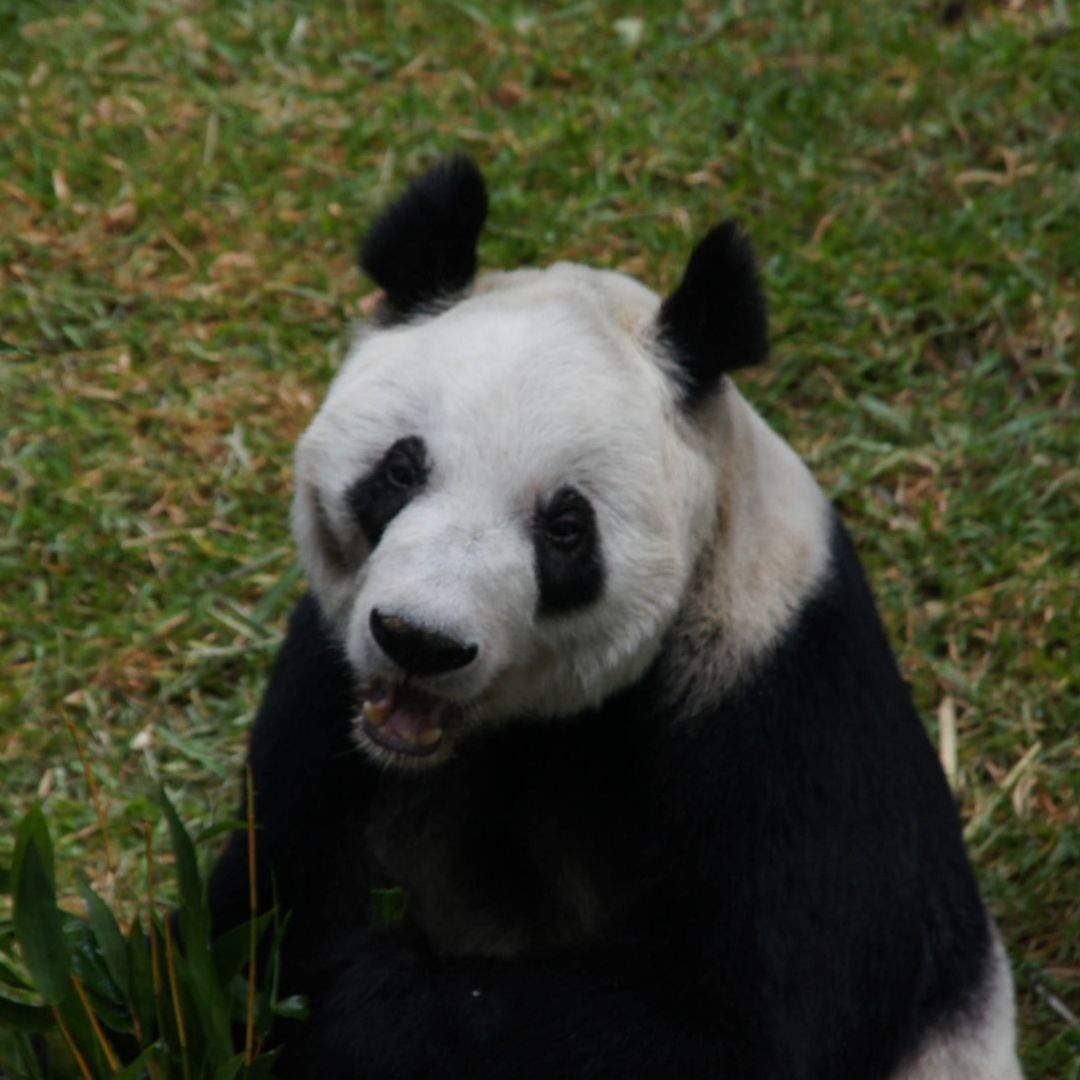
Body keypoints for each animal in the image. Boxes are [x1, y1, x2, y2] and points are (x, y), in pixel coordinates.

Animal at [207, 157, 1022, 1079]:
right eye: (401, 469)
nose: (421, 642)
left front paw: (359, 991)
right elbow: (250, 910)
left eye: (565, 527)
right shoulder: (328, 693)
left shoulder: (782, 720)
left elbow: (733, 1032)